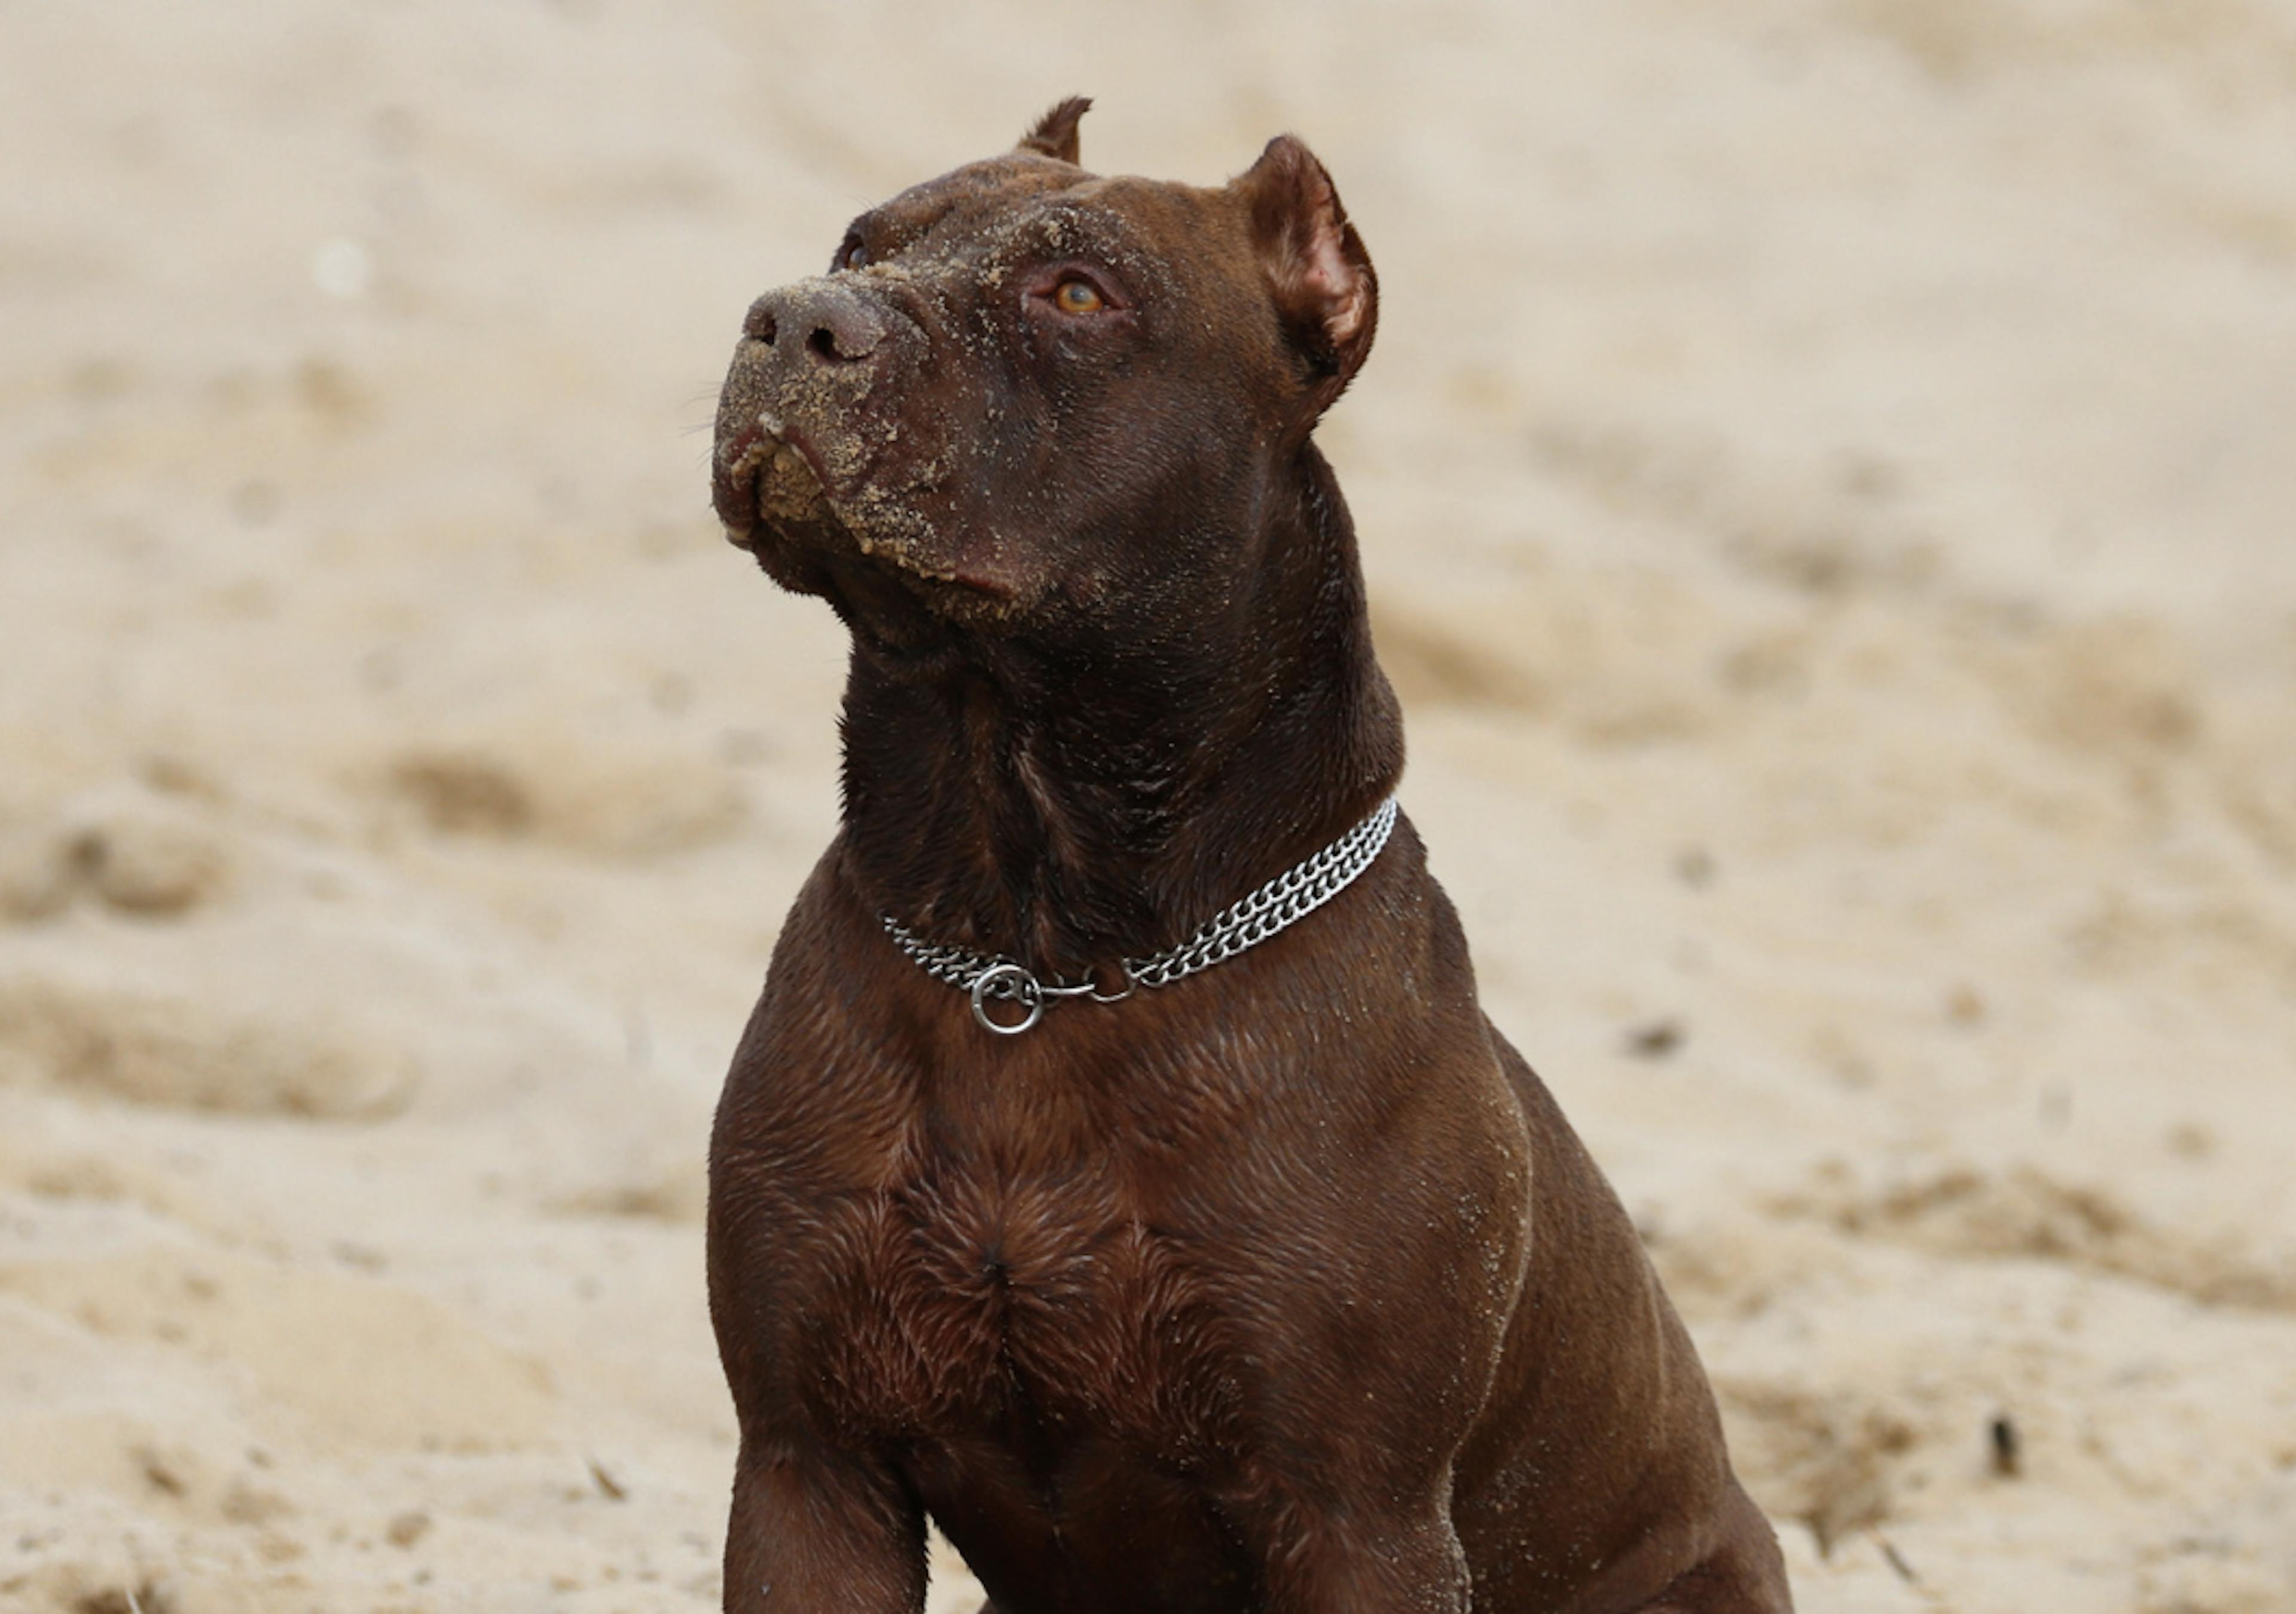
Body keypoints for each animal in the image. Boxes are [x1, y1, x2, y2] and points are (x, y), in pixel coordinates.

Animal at [707, 100, 1781, 1614]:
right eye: (860, 244)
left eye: (1076, 296)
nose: (795, 317)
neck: (1031, 943)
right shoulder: (812, 1465)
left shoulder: (1357, 1514)